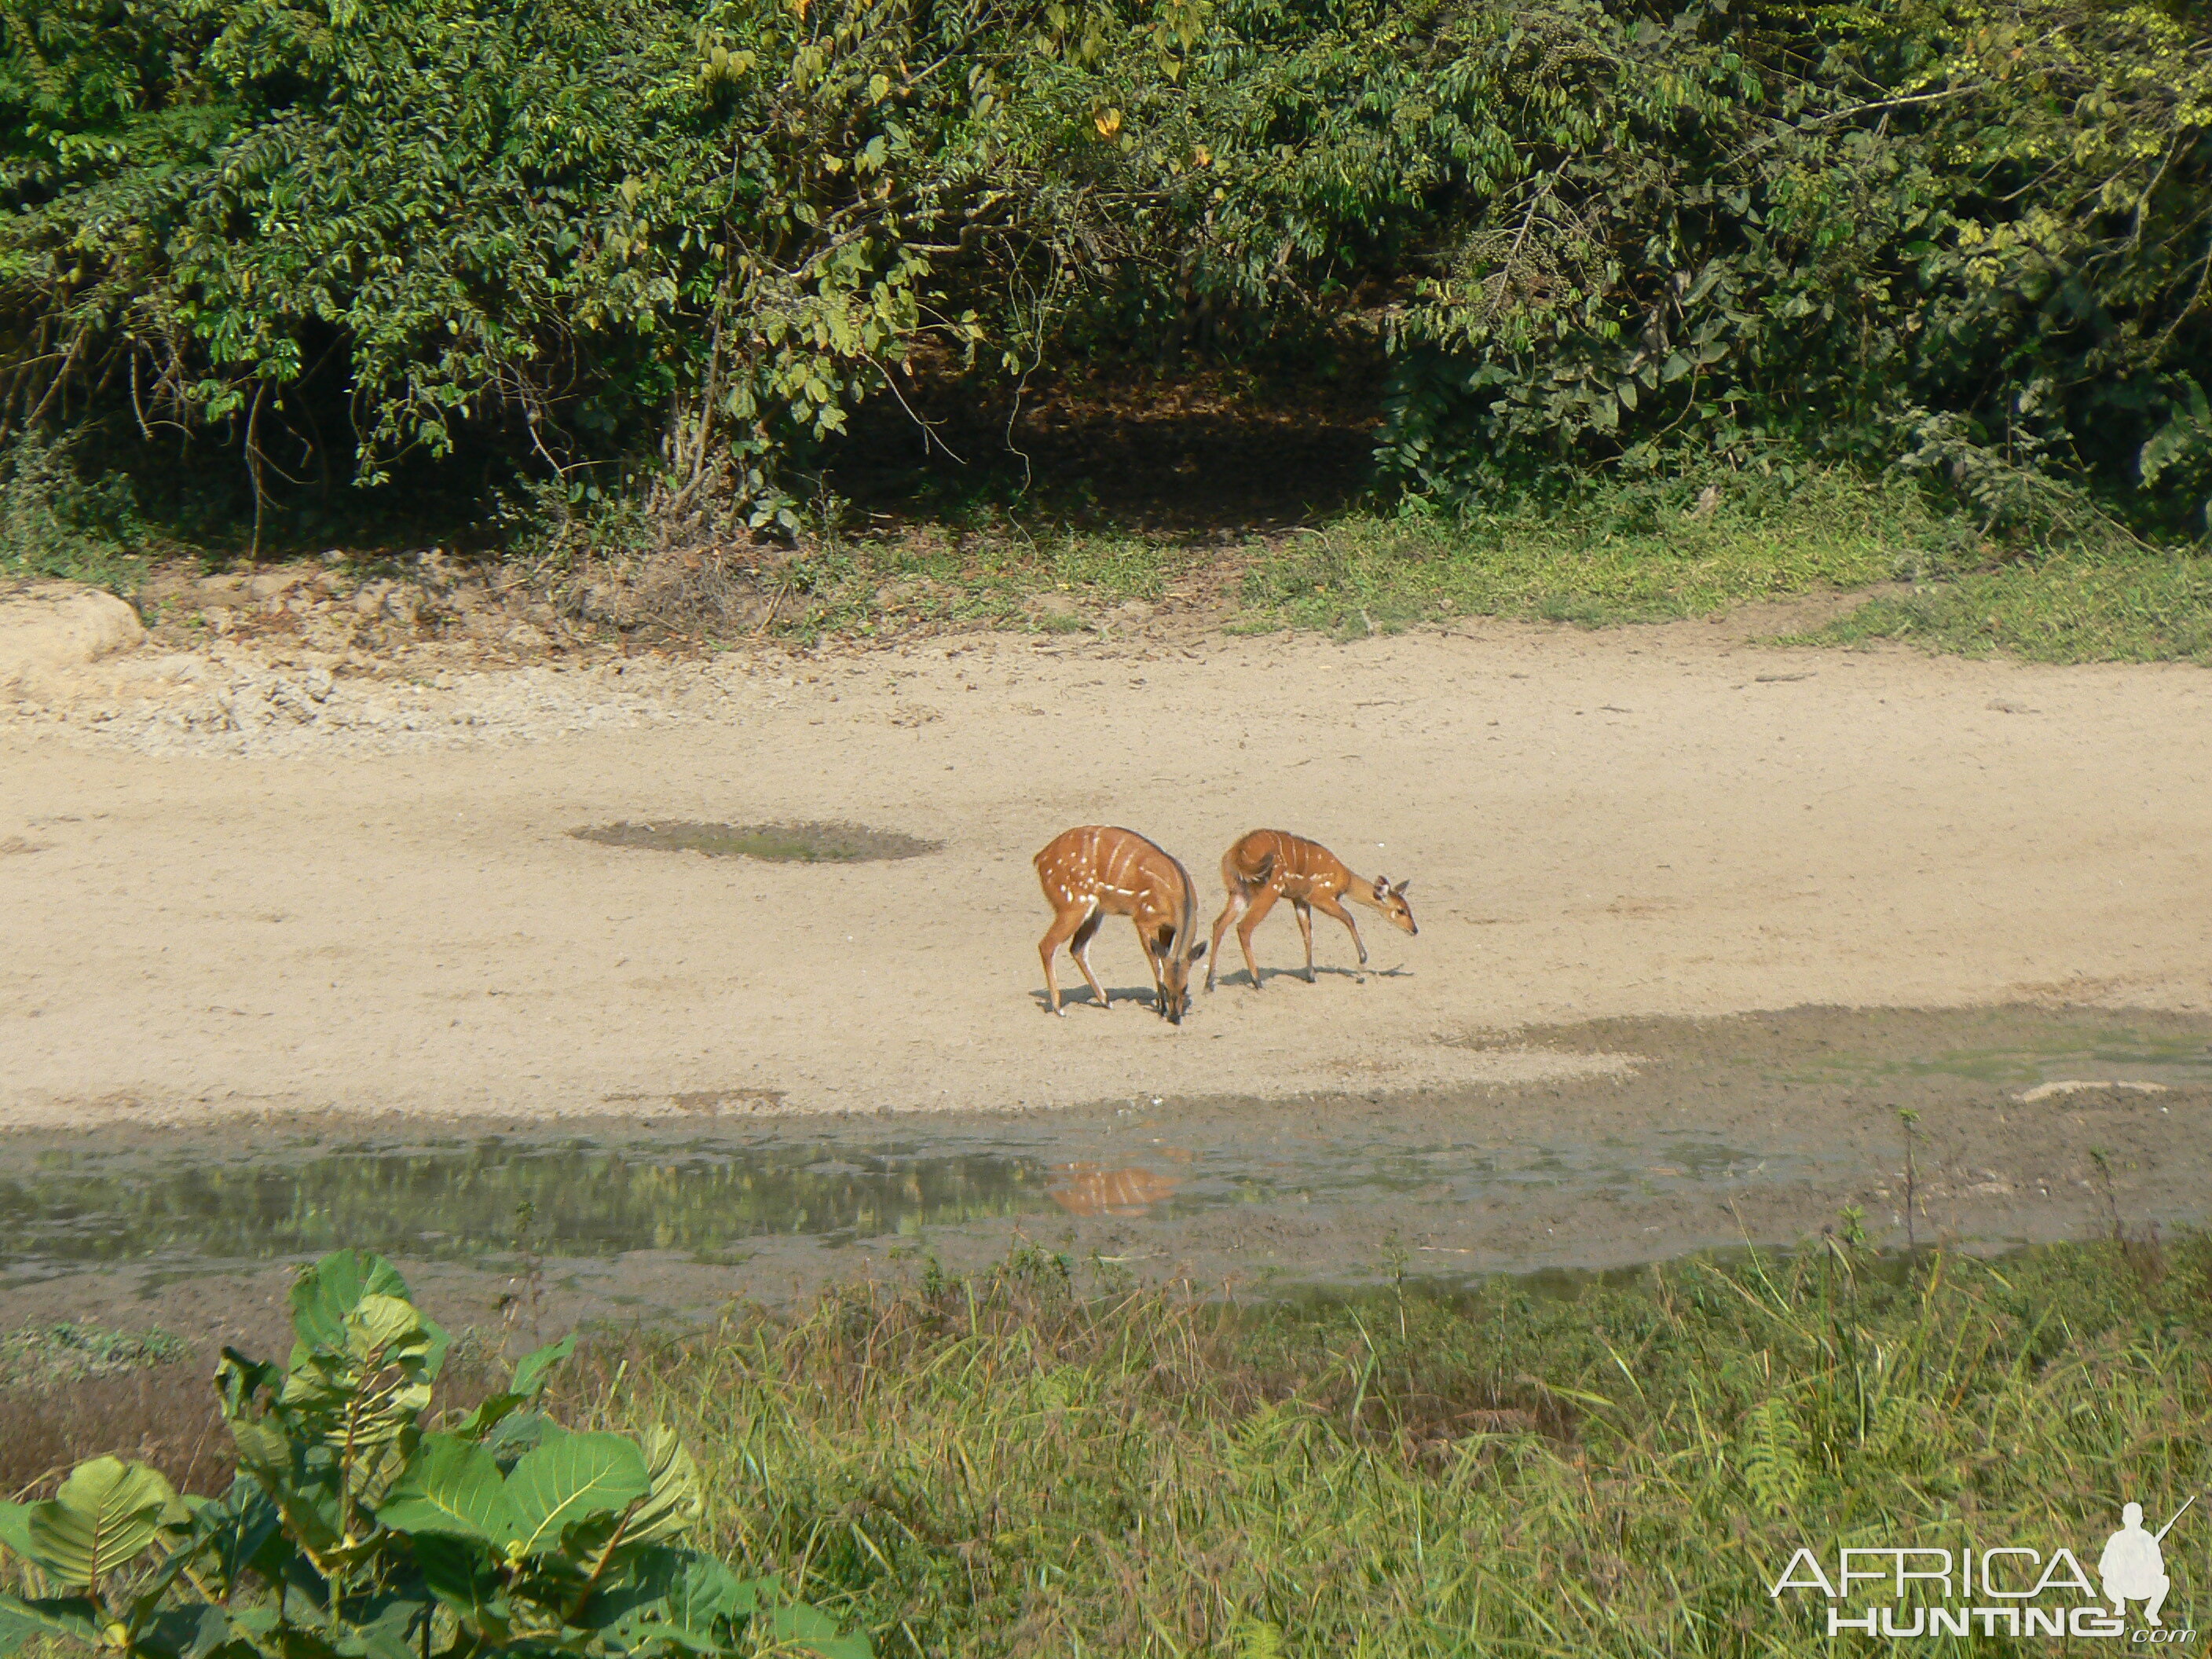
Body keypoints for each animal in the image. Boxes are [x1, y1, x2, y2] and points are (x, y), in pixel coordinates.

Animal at [1035, 822, 1212, 1021]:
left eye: (1185, 987)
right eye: (1166, 987)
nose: (1174, 1017)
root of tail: (1041, 857)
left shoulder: (1167, 928)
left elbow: (1162, 958)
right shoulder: (1144, 919)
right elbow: (1156, 962)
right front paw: (1161, 1008)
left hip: (1095, 912)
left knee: (1077, 949)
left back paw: (1105, 1001)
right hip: (1074, 905)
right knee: (1047, 945)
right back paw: (1059, 1008)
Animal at [1212, 827, 1415, 995]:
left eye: (1408, 909)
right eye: (1401, 911)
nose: (1415, 930)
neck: (1347, 880)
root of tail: (1237, 850)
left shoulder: (1300, 900)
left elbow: (1307, 934)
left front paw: (1311, 976)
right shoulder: (1319, 896)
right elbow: (1348, 917)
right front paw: (1362, 962)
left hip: (1238, 892)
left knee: (1219, 924)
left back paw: (1210, 983)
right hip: (1270, 890)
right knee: (1244, 927)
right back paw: (1257, 981)